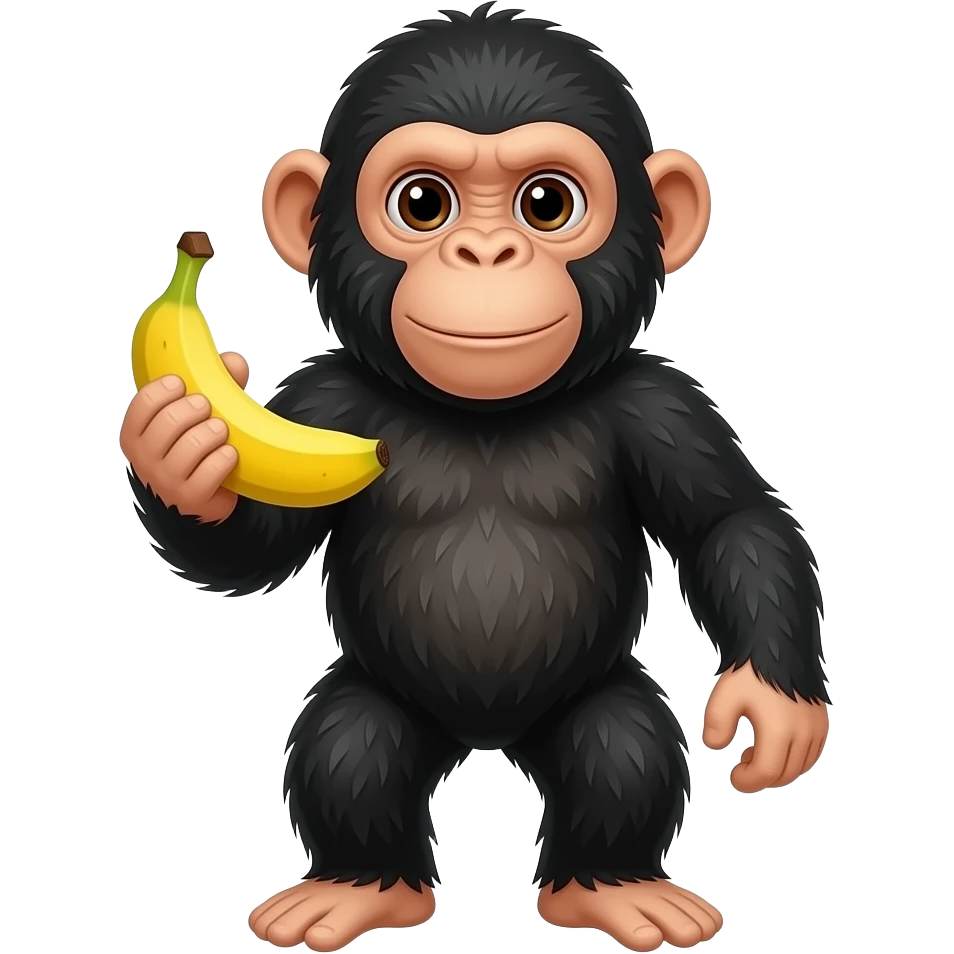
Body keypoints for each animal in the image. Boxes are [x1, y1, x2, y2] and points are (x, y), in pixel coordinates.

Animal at [119, 6, 830, 952]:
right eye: (422, 203)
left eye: (547, 203)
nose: (486, 251)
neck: (484, 415)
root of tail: (486, 738)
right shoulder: (326, 397)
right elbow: (256, 549)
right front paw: (178, 448)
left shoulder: (657, 401)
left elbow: (730, 522)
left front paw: (778, 706)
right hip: (385, 707)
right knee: (351, 747)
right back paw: (357, 888)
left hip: (588, 704)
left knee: (621, 745)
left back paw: (615, 888)